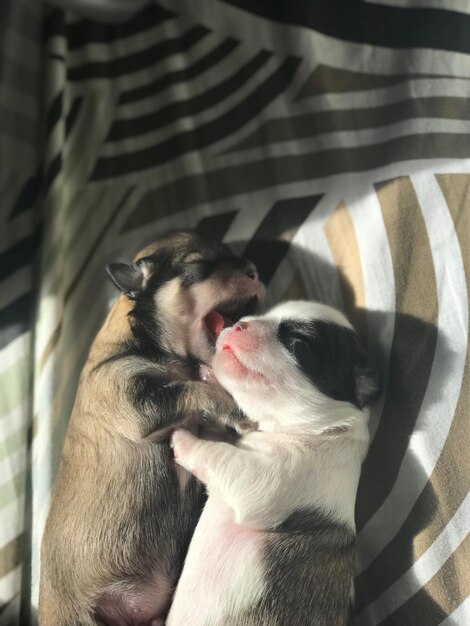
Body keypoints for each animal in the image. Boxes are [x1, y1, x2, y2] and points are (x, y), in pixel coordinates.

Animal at [167, 298, 380, 624]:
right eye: (260, 314)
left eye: (298, 342)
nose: (239, 323)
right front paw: (211, 378)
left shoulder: (266, 480)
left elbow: (217, 454)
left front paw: (182, 440)